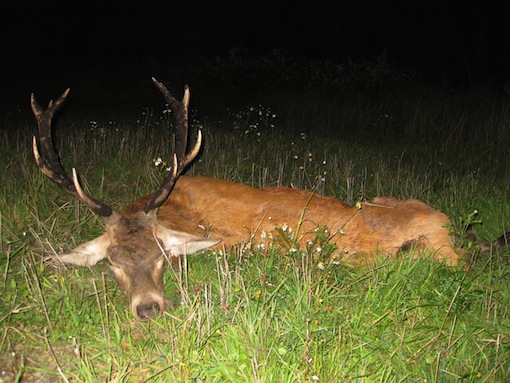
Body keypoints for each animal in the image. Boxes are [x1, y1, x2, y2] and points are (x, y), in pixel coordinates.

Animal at [33, 79, 508, 322]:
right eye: (112, 261)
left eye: (162, 255)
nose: (148, 308)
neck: (179, 210)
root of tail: (455, 231)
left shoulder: (231, 240)